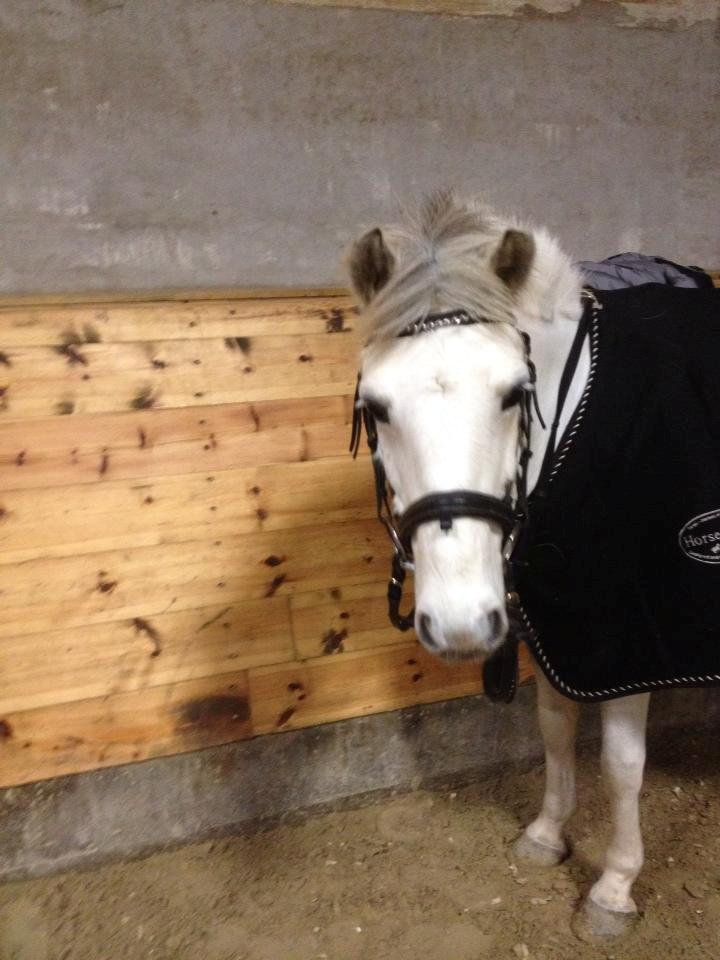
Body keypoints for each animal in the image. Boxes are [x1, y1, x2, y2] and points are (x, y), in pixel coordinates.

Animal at [345, 191, 719, 941]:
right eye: (376, 407)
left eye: (514, 394)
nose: (460, 625)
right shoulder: (558, 621)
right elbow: (554, 725)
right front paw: (548, 833)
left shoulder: (631, 639)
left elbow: (621, 765)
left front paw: (614, 888)